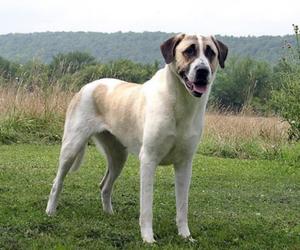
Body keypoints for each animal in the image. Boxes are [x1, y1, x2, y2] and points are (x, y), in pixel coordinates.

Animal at [45, 33, 227, 242]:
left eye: (210, 52)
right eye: (189, 50)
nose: (202, 71)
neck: (181, 102)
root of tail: (86, 86)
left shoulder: (184, 164)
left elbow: (182, 206)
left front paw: (185, 236)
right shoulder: (148, 159)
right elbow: (147, 207)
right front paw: (148, 238)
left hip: (118, 156)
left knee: (104, 185)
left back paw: (109, 214)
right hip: (72, 146)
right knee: (57, 182)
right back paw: (50, 211)